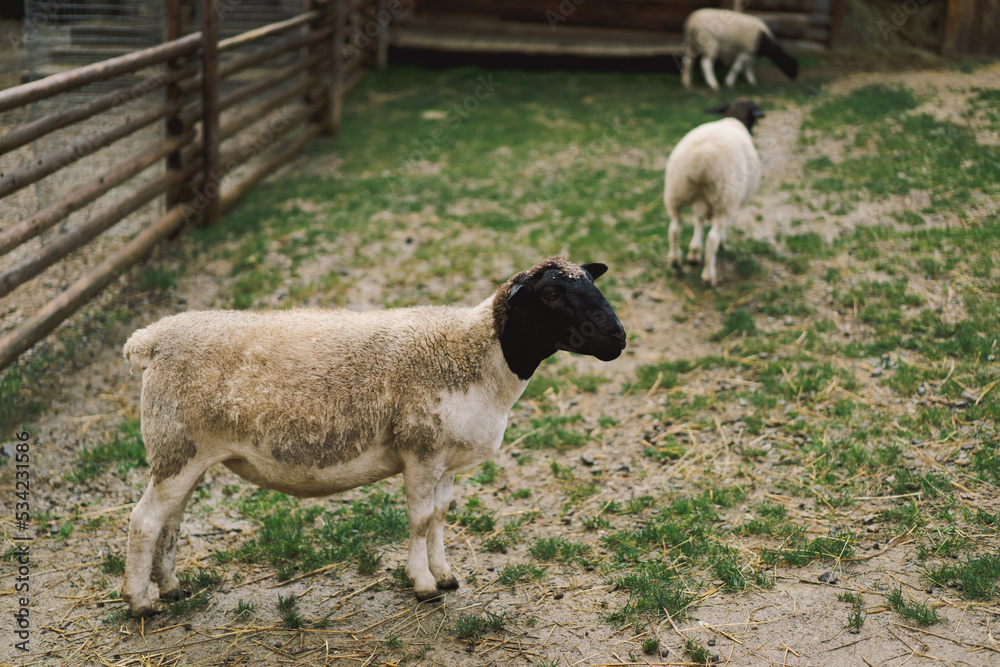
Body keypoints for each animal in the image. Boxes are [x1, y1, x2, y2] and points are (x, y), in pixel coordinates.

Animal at [120, 257, 626, 617]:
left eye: (593, 283)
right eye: (552, 293)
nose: (618, 338)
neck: (478, 353)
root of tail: (150, 341)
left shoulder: (445, 459)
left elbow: (440, 517)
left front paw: (445, 575)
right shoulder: (421, 450)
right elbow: (420, 520)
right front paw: (423, 585)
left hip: (184, 454)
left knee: (170, 522)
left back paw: (171, 588)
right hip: (176, 448)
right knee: (144, 521)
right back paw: (140, 602)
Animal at [664, 98, 764, 287]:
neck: (733, 119)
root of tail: (702, 159)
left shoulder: (700, 201)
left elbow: (698, 221)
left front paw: (694, 253)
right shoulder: (731, 203)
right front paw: (721, 243)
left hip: (676, 192)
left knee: (674, 228)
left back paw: (675, 260)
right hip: (724, 199)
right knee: (712, 239)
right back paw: (709, 276)